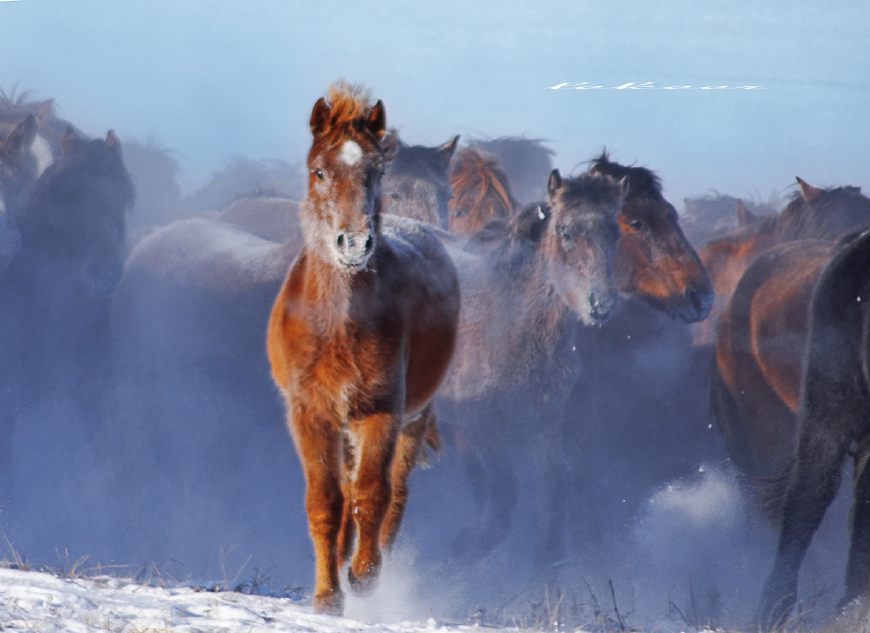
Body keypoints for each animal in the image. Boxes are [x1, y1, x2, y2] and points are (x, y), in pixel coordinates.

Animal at [268, 84, 464, 612]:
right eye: (319, 171)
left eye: (376, 174)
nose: (354, 245)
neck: (337, 326)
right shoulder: (311, 413)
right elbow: (326, 501)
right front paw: (326, 595)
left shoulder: (382, 412)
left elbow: (372, 495)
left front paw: (363, 576)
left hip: (412, 419)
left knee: (394, 495)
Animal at [442, 167, 628, 556]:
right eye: (564, 231)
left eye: (615, 231)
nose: (601, 304)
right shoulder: (480, 427)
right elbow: (501, 494)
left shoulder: (546, 421)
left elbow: (554, 486)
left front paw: (548, 561)